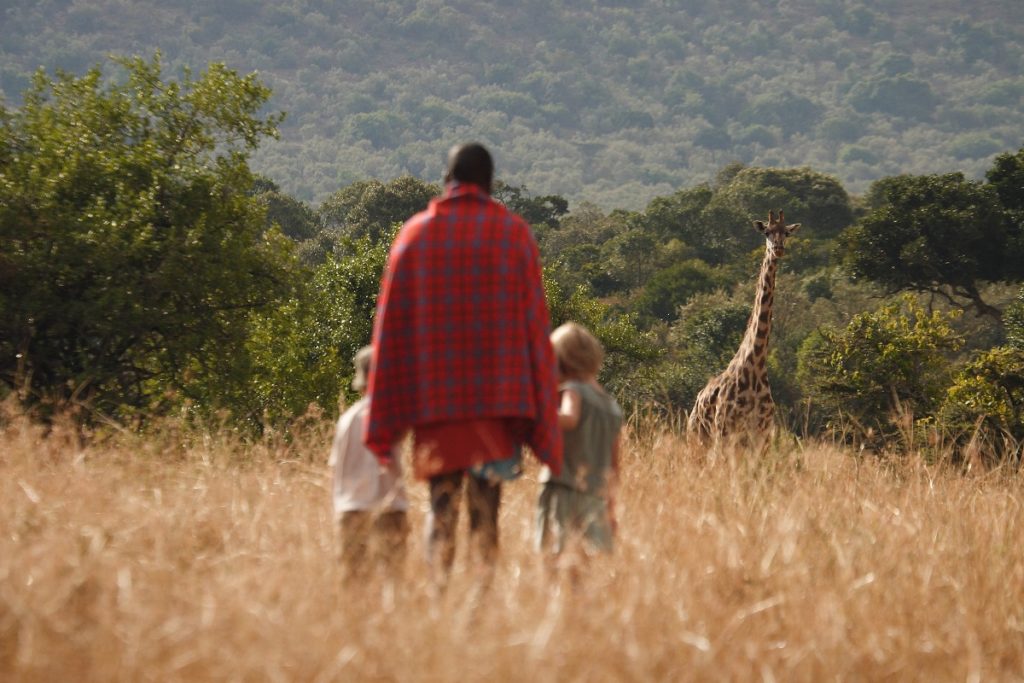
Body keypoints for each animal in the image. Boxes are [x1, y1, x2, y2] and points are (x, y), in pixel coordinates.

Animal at [688, 210, 798, 450]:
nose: (778, 249)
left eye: (786, 233)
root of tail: (696, 401)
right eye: (767, 232)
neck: (755, 364)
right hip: (699, 440)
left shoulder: (762, 437)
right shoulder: (724, 432)